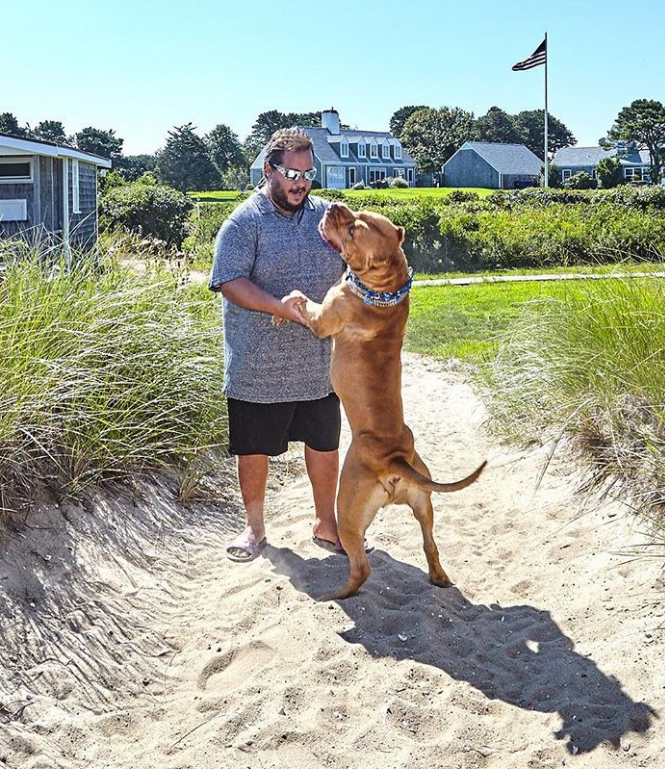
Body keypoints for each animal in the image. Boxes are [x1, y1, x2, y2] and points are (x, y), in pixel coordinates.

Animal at [290, 204, 482, 600]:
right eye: (357, 212)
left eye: (352, 230)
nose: (334, 206)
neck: (385, 288)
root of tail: (394, 459)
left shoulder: (322, 318)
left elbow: (302, 303)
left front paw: (288, 302)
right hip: (424, 502)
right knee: (430, 544)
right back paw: (439, 578)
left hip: (347, 510)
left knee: (361, 568)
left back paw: (333, 596)